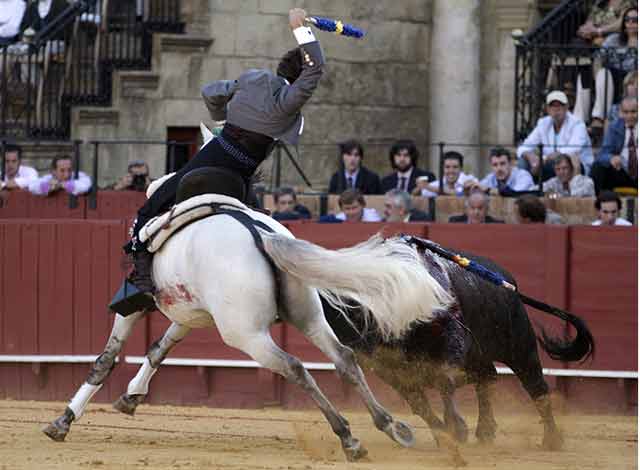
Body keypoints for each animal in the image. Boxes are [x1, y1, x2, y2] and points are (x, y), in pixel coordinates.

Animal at [42, 201, 450, 458]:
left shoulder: (134, 306)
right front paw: (130, 397)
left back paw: (349, 438)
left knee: (295, 367)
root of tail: (259, 232)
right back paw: (391, 426)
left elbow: (106, 358)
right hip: (308, 316)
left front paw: (63, 421)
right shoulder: (190, 314)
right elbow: (159, 348)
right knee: (344, 360)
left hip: (247, 334)